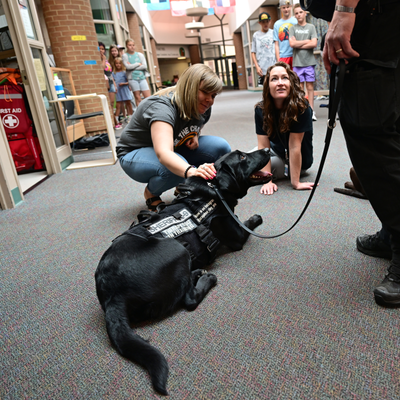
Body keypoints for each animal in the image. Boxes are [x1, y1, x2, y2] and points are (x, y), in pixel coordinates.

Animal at [95, 149, 272, 395]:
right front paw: (255, 218)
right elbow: (246, 224)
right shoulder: (236, 236)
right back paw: (206, 277)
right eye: (243, 158)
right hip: (178, 249)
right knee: (189, 300)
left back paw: (196, 272)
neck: (212, 191)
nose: (267, 150)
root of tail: (112, 295)